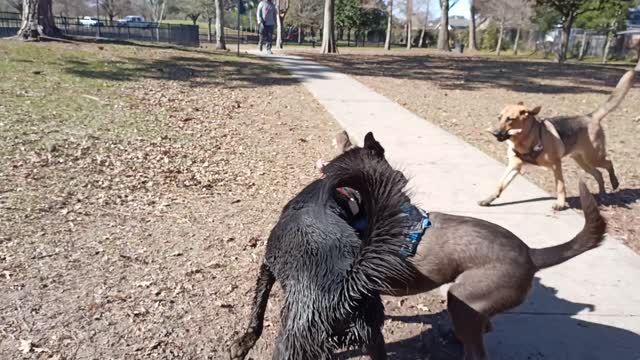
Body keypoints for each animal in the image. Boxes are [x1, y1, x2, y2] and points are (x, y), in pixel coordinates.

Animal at [230, 133, 416, 360]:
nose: (402, 178)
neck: (346, 193)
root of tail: (345, 288)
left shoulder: (266, 266)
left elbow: (258, 306)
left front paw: (245, 341)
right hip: (372, 338)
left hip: (292, 345)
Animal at [480, 68, 636, 210]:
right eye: (499, 118)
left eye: (510, 119)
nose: (495, 133)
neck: (526, 138)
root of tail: (590, 116)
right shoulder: (514, 166)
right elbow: (500, 184)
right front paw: (489, 199)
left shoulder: (556, 165)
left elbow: (560, 185)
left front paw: (560, 204)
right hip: (582, 161)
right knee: (598, 174)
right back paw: (602, 194)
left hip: (594, 157)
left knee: (608, 163)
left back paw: (614, 183)